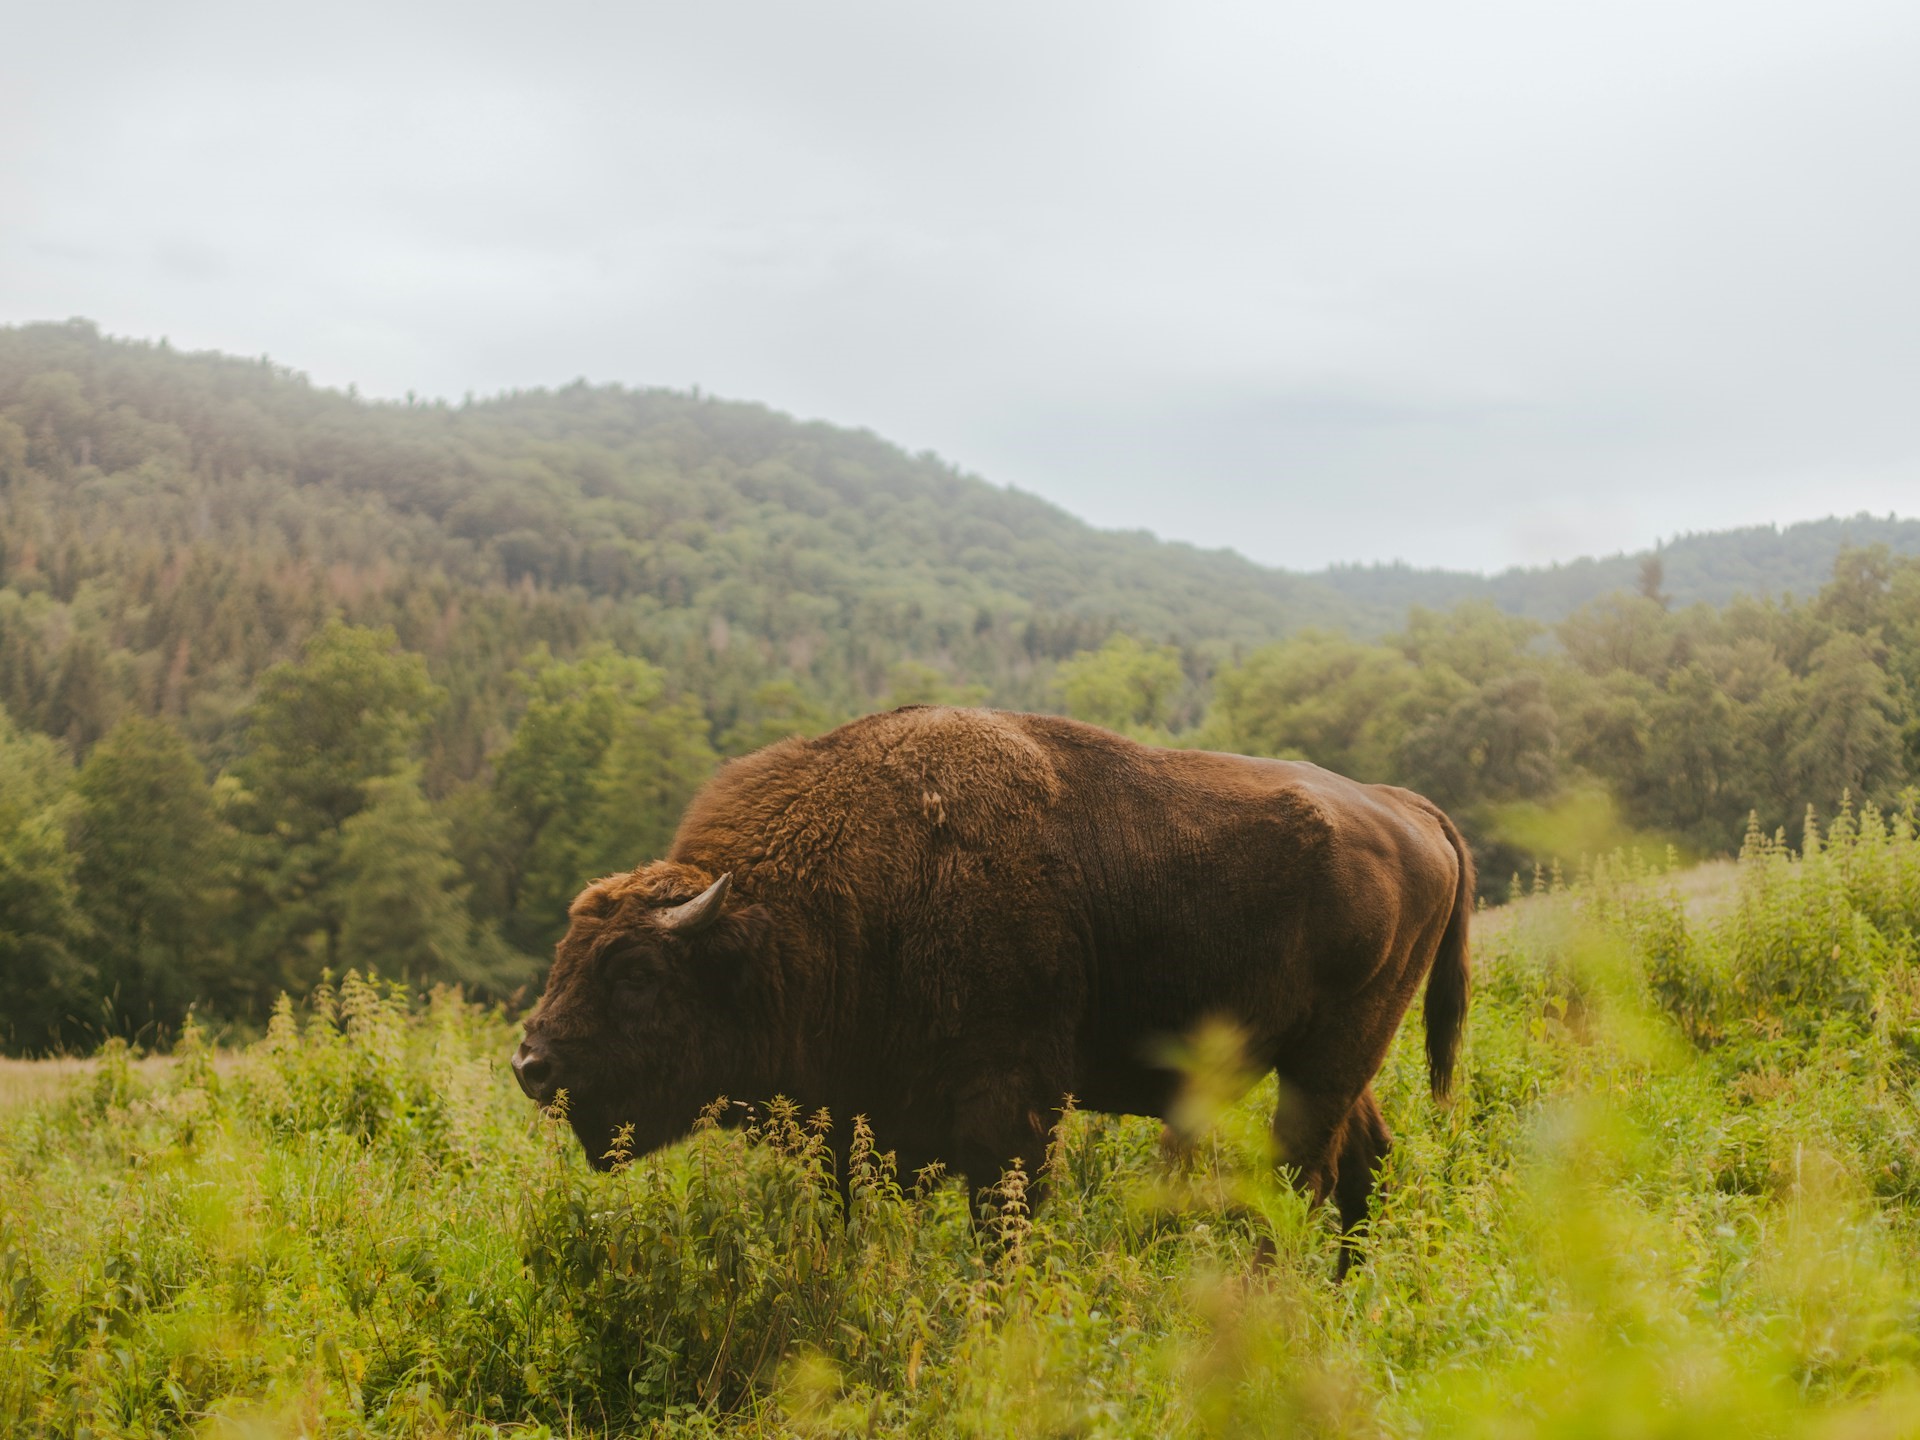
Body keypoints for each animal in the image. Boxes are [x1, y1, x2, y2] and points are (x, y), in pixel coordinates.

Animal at [510, 706, 1466, 1251]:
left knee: (1305, 1175)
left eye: (636, 972)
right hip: (1333, 1061)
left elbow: (1002, 1226)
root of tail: (1407, 806)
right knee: (1363, 1165)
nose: (532, 1066)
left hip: (1329, 1061)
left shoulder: (1011, 1108)